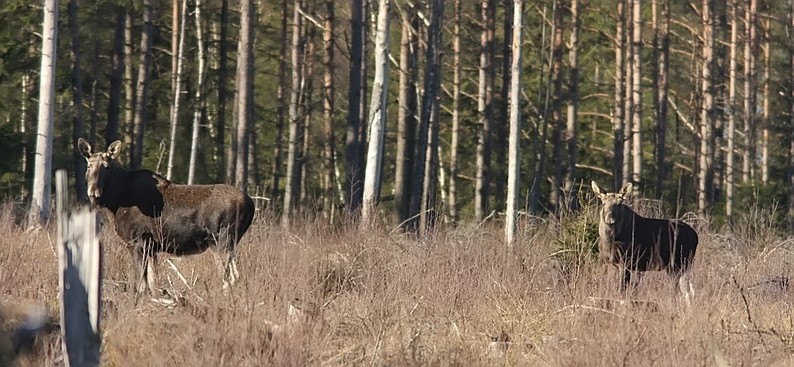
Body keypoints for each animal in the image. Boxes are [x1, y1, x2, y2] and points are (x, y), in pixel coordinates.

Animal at [77, 139, 254, 298]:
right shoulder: (151, 246)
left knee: (229, 278)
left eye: (106, 167)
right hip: (229, 243)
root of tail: (251, 203)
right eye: (88, 165)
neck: (115, 203)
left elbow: (141, 284)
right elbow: (153, 283)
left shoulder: (138, 241)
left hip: (221, 241)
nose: (94, 192)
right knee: (235, 276)